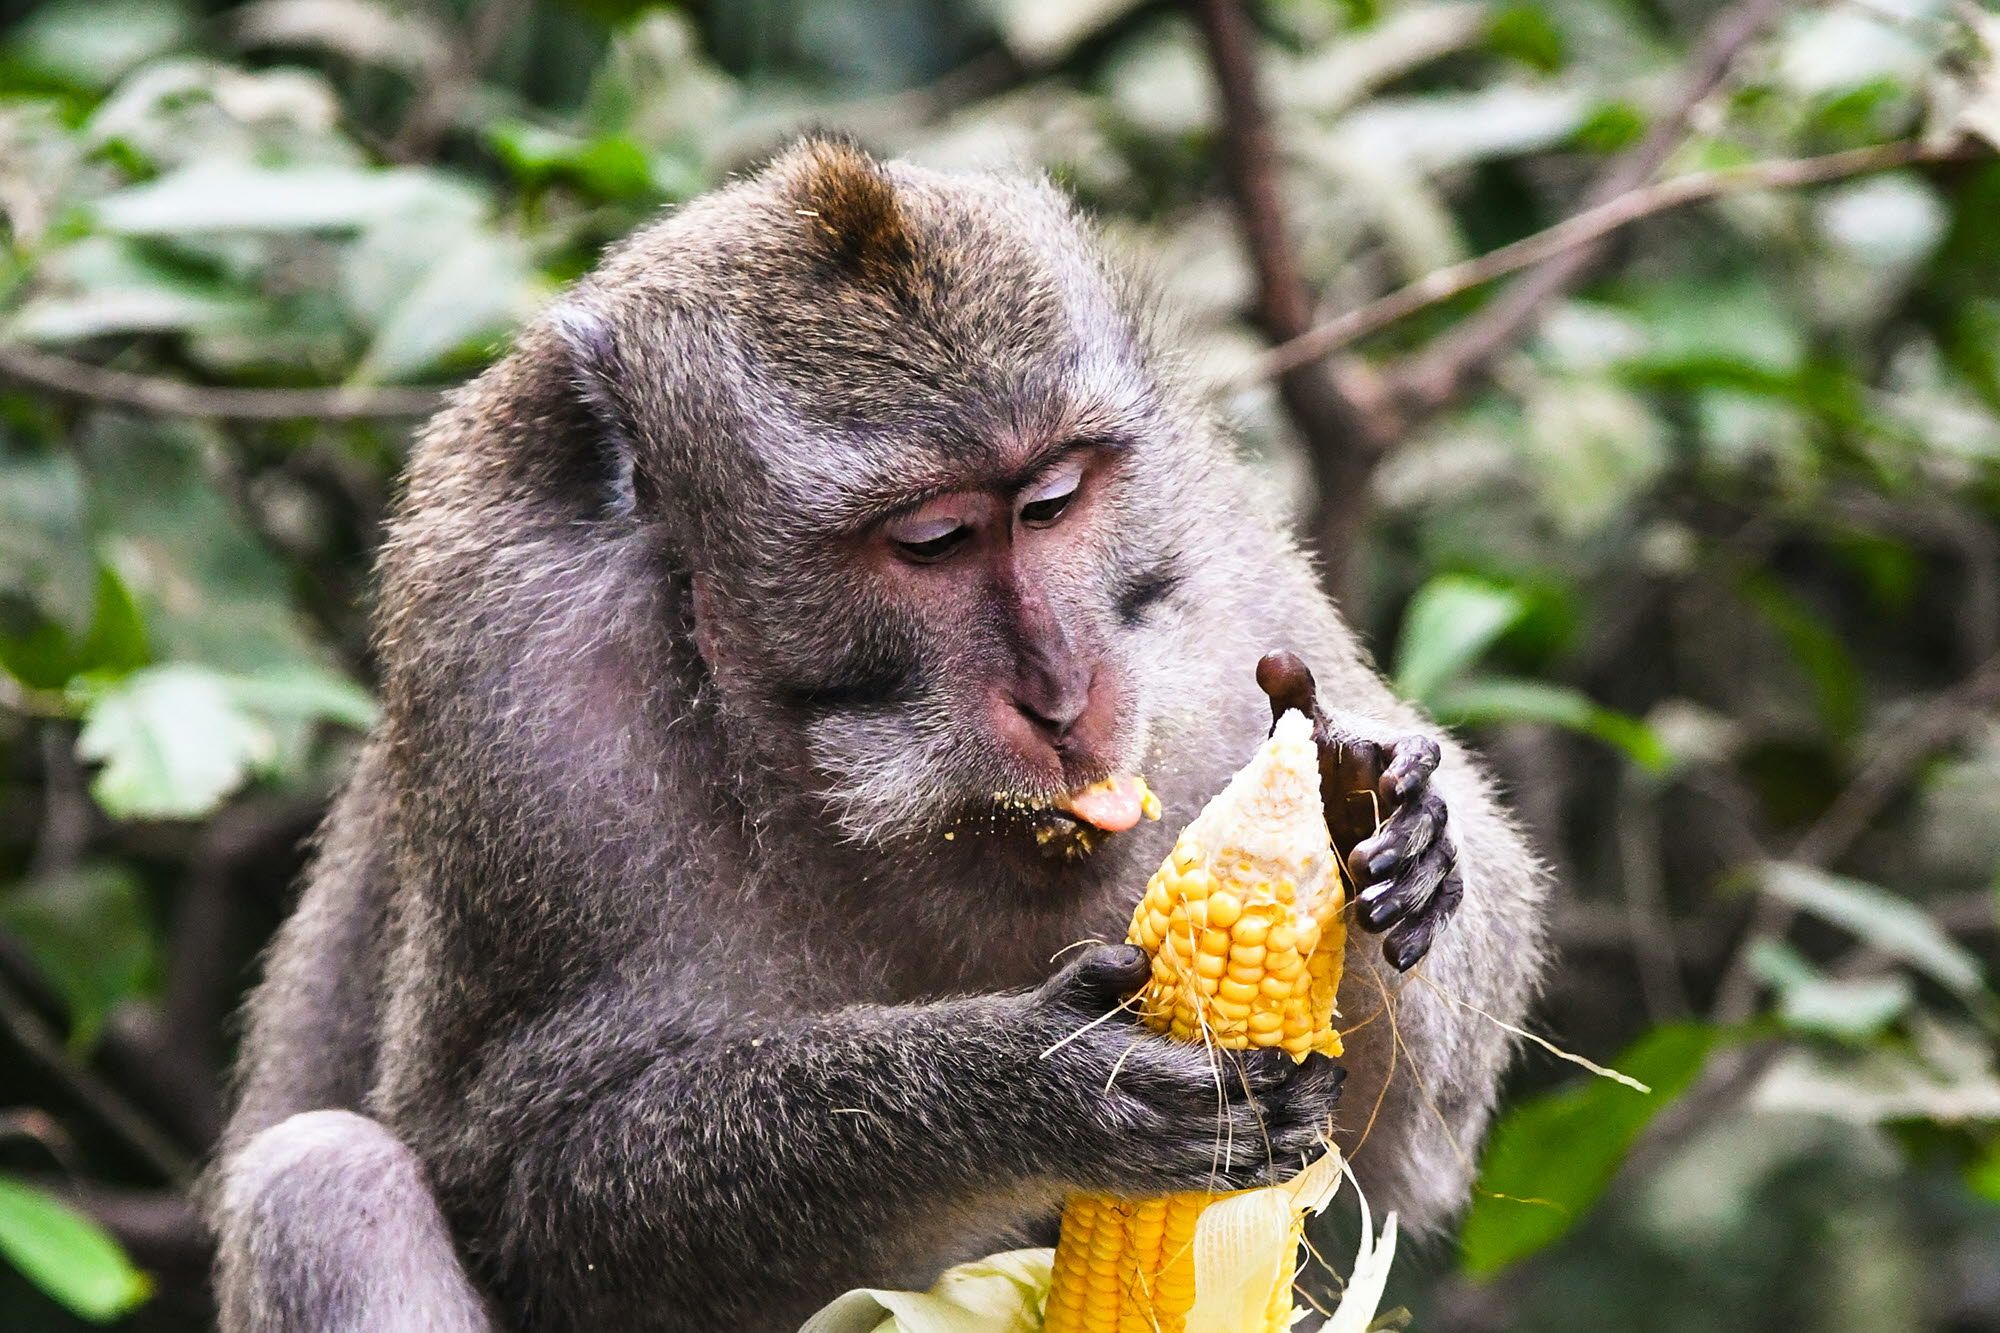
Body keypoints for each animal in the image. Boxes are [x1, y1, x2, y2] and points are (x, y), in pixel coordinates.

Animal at [207, 137, 1544, 1328]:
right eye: (932, 541)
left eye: (1053, 501)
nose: (1063, 691)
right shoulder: (510, 676)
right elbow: (515, 1182)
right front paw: (1027, 1083)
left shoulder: (1213, 574)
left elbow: (1391, 1160)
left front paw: (1378, 814)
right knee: (323, 1183)